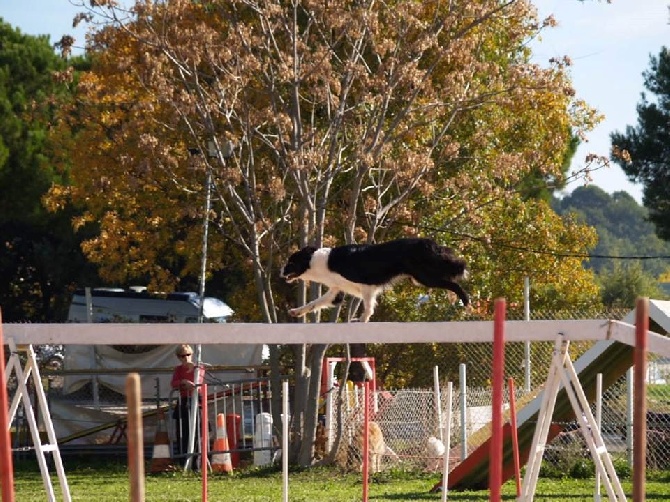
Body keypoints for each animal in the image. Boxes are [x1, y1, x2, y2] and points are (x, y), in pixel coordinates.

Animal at [280, 238, 470, 322]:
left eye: (291, 262)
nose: (280, 271)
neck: (320, 261)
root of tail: (430, 243)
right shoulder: (336, 291)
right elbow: (314, 303)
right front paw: (296, 311)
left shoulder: (366, 285)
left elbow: (368, 306)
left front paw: (363, 319)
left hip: (425, 277)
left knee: (454, 284)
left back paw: (466, 302)